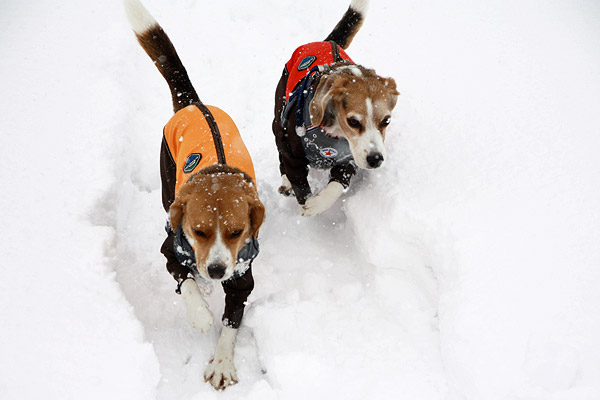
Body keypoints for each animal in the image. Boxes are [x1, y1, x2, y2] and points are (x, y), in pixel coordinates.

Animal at [125, 0, 264, 390]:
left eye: (236, 232)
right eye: (198, 231)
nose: (216, 270)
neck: (216, 174)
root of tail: (193, 102)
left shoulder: (242, 278)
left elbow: (231, 324)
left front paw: (223, 362)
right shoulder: (171, 250)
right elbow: (184, 281)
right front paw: (200, 314)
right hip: (165, 173)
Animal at [272, 0, 398, 216]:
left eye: (386, 121)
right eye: (353, 121)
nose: (375, 159)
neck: (334, 134)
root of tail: (326, 42)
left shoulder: (349, 159)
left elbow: (337, 185)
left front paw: (317, 204)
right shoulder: (290, 147)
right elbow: (298, 181)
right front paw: (305, 203)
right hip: (278, 115)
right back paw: (286, 181)